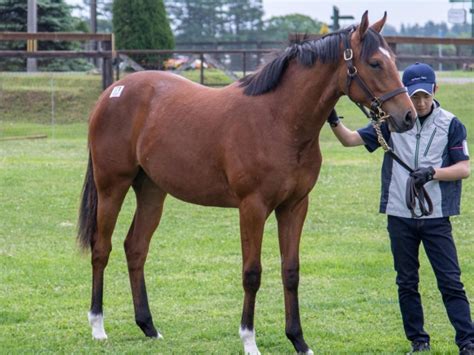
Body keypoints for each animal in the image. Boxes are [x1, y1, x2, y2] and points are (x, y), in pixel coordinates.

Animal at [77, 11, 414, 355]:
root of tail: (113, 91)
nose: (408, 116)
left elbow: (290, 271)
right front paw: (249, 340)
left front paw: (299, 340)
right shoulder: (252, 207)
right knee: (101, 248)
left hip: (152, 191)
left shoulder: (295, 206)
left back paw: (148, 326)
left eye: (393, 60)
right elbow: (252, 273)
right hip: (111, 187)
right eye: (375, 63)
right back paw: (98, 326)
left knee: (136, 248)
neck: (278, 119)